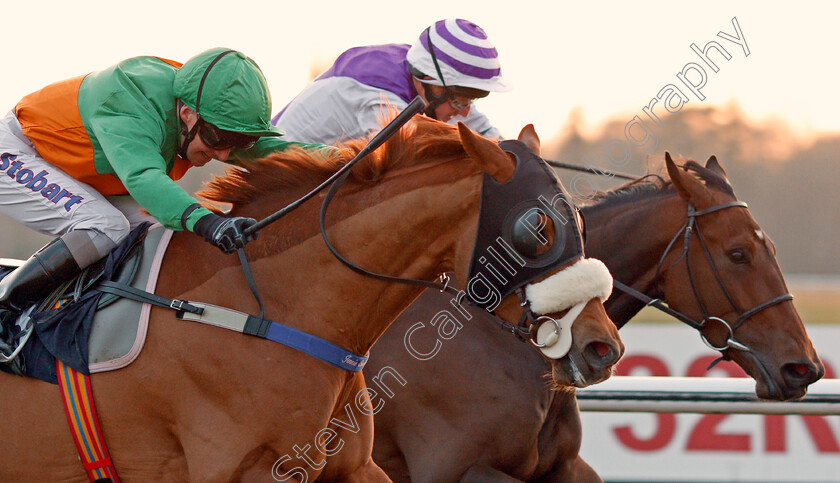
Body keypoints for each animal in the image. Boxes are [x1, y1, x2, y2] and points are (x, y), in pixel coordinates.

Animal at [0, 119, 624, 482]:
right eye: (537, 229)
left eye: (579, 221)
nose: (603, 349)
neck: (277, 308)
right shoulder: (252, 470)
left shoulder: (355, 467)